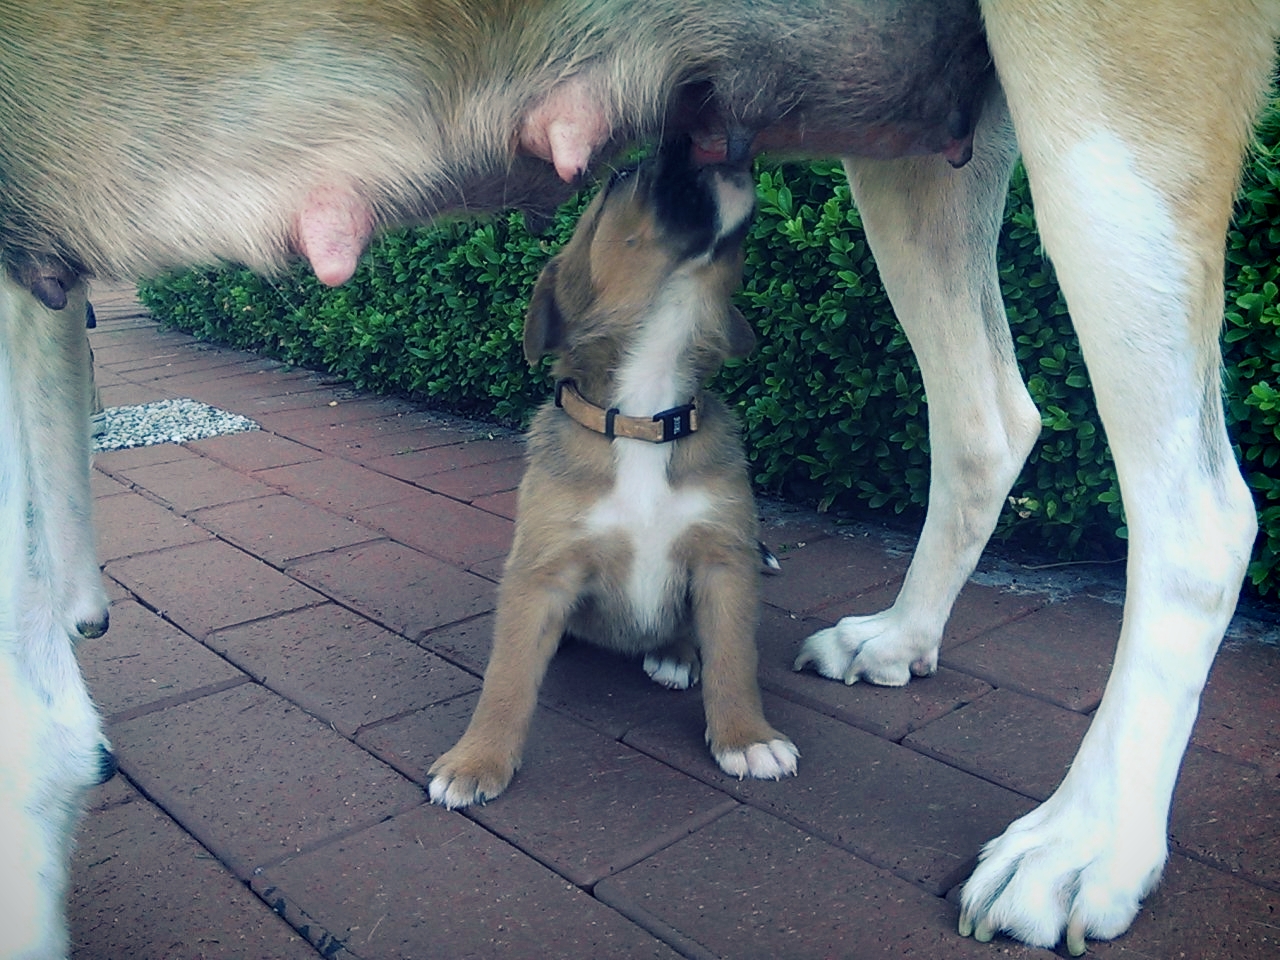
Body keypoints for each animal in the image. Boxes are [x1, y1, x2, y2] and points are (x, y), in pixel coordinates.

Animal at [424, 136, 793, 814]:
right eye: (624, 176)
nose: (725, 138)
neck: (644, 414)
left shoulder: (724, 561)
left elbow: (734, 658)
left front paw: (746, 738)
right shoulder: (540, 574)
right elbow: (506, 676)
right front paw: (476, 760)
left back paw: (674, 653)